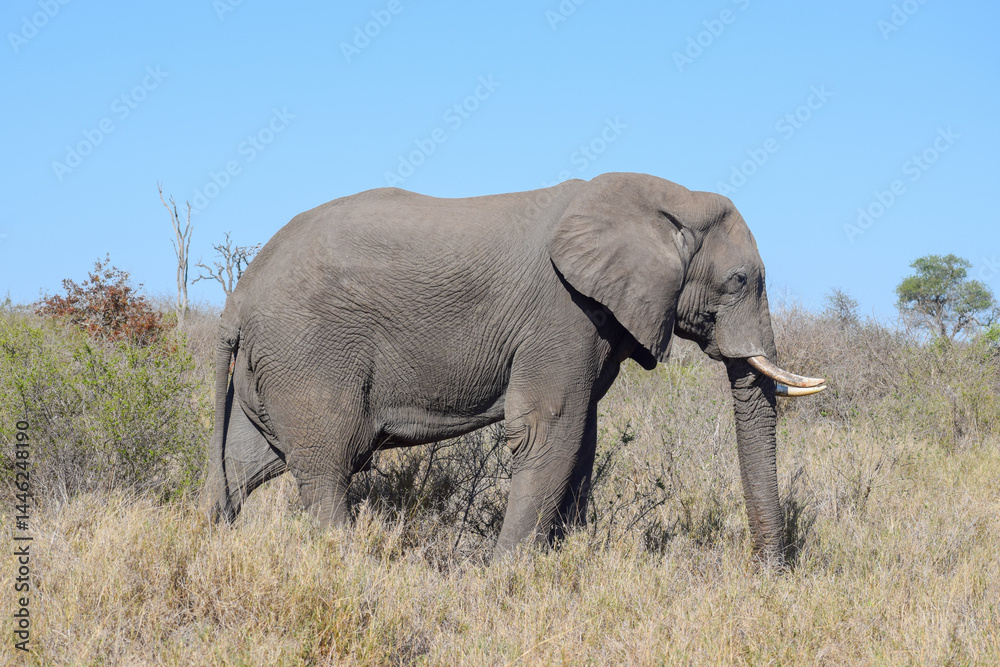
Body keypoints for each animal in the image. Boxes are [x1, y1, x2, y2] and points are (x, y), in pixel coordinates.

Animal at [204, 172, 825, 562]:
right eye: (739, 280)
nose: (766, 575)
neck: (665, 195)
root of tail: (237, 299)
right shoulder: (562, 311)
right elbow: (549, 432)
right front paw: (507, 577)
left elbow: (582, 439)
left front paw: (560, 562)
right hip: (309, 353)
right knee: (328, 465)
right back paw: (348, 566)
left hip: (272, 366)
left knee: (245, 464)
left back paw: (210, 541)